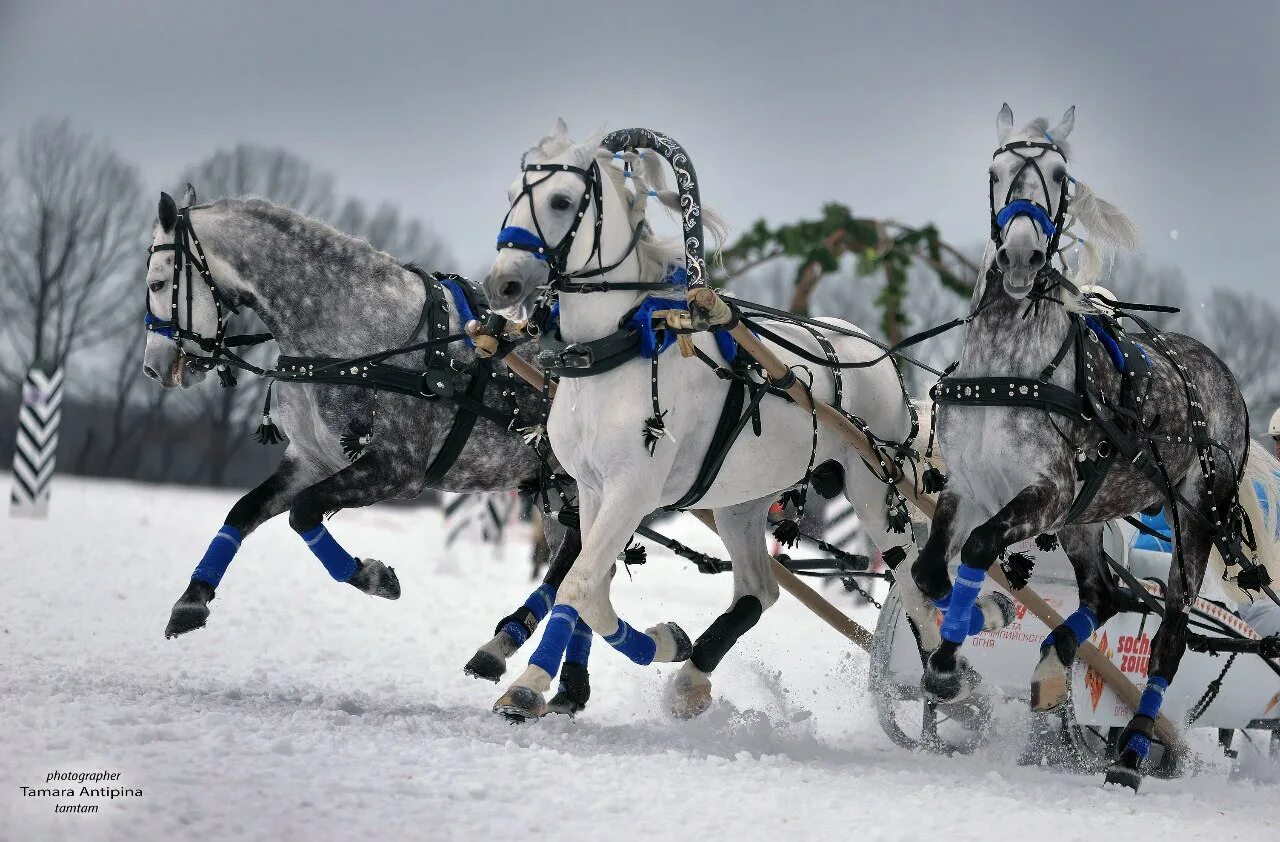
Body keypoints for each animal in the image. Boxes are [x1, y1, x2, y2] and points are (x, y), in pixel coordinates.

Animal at [481, 121, 1008, 716]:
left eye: (561, 200)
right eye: (510, 195)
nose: (500, 285)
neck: (619, 351)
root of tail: (878, 355)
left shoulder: (632, 491)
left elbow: (580, 585)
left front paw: (650, 645)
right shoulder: (592, 489)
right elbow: (584, 583)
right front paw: (542, 679)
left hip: (874, 488)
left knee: (914, 583)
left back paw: (949, 680)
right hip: (742, 501)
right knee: (761, 587)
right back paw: (693, 677)